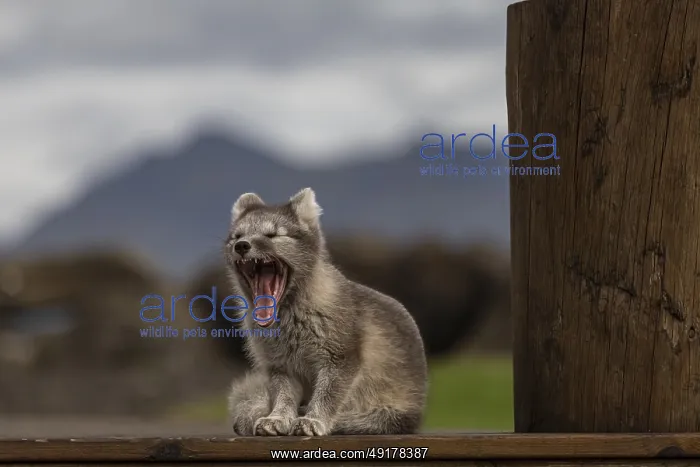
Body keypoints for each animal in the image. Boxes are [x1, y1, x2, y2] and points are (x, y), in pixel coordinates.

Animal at [224, 187, 428, 436]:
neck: (291, 322)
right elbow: (283, 396)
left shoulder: (341, 358)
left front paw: (312, 420)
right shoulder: (280, 365)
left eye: (272, 235)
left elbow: (326, 395)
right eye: (237, 236)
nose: (242, 246)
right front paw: (277, 418)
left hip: (387, 415)